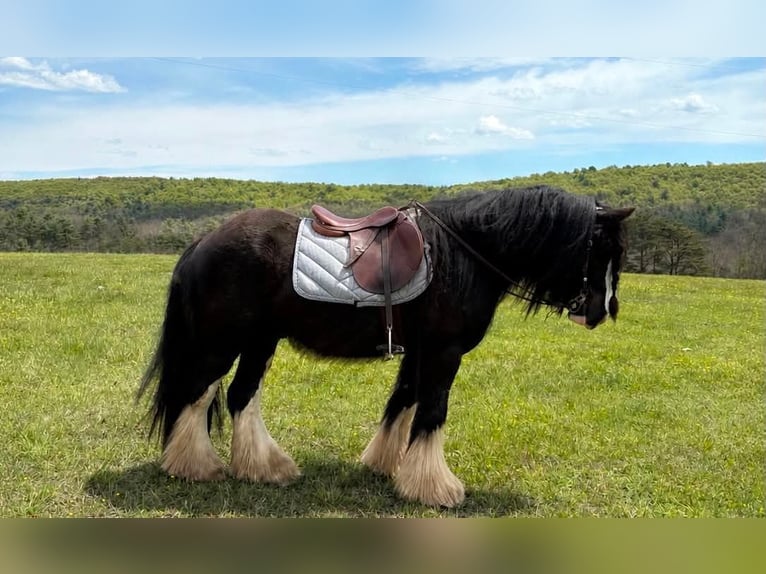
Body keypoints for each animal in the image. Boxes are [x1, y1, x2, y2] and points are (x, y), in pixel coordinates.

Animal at [137, 184, 633, 508]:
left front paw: (387, 465)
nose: (601, 311)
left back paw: (265, 468)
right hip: (222, 342)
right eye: (600, 249)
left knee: (240, 397)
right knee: (198, 395)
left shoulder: (420, 352)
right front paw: (436, 489)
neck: (464, 254)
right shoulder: (444, 352)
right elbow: (431, 413)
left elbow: (403, 403)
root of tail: (204, 240)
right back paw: (195, 466)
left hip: (260, 341)